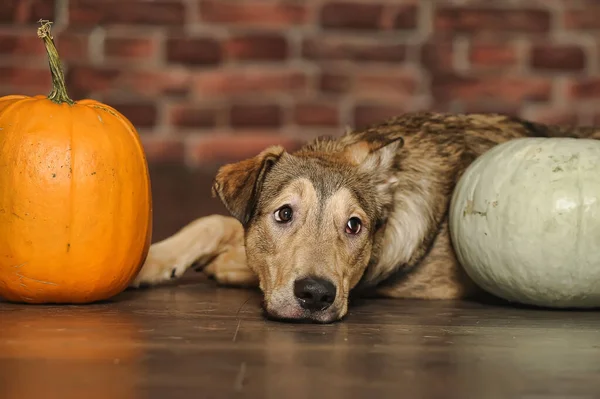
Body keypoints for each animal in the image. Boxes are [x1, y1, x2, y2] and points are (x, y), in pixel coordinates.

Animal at [131, 112, 600, 324]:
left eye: (354, 225)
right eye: (284, 213)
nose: (316, 295)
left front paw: (224, 264)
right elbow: (212, 222)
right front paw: (151, 262)